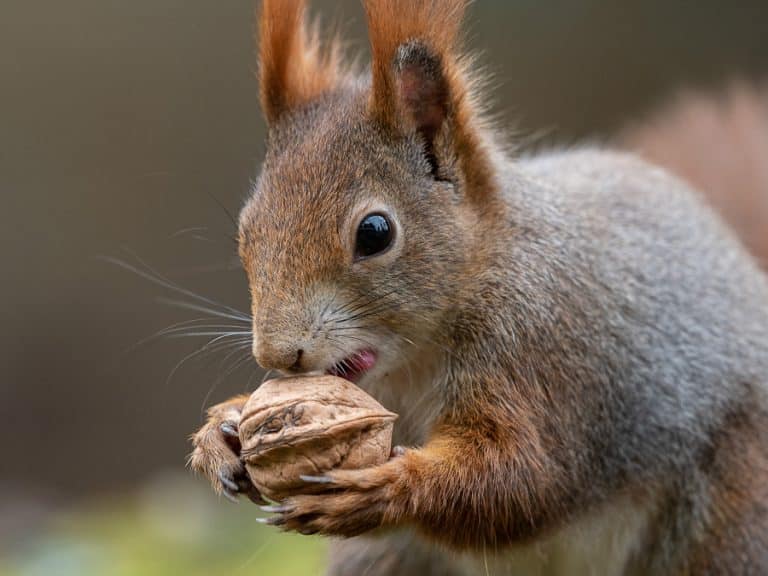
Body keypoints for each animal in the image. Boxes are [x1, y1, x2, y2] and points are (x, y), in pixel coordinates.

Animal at [188, 2, 768, 572]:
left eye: (375, 233)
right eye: (246, 230)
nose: (278, 355)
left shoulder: (538, 355)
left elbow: (523, 478)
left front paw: (386, 488)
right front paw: (225, 430)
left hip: (730, 514)